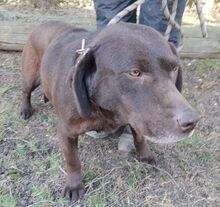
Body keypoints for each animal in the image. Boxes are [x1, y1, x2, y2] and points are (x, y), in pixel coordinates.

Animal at [20, 20, 199, 201]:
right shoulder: (65, 132)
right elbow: (72, 160)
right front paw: (74, 184)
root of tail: (44, 23)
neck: (106, 109)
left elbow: (140, 138)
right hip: (31, 77)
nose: (191, 121)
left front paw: (145, 155)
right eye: (135, 72)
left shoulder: (134, 117)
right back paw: (25, 109)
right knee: (26, 91)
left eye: (174, 68)